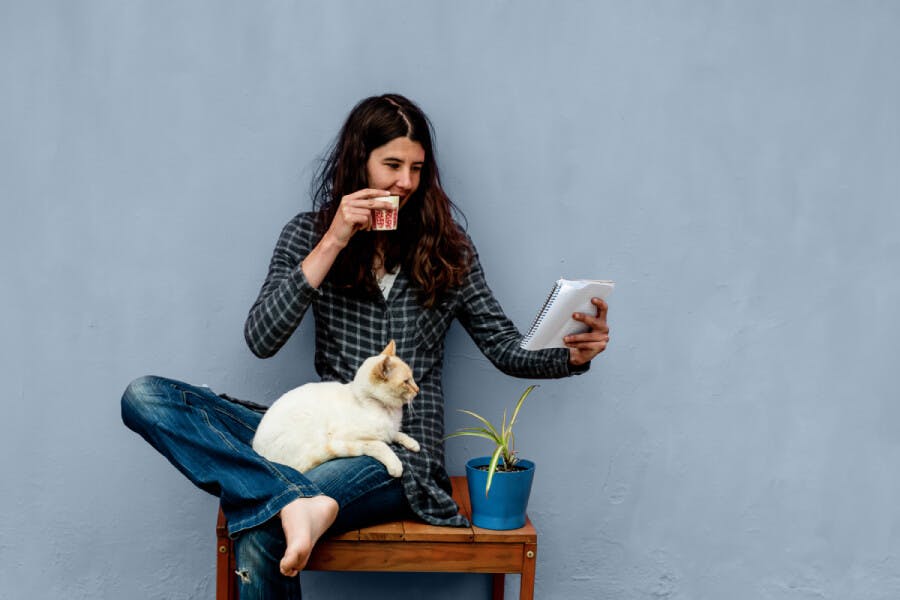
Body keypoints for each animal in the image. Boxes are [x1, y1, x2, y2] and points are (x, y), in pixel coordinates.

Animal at [253, 342, 422, 478]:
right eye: (406, 382)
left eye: (412, 378)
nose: (418, 390)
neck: (386, 410)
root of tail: (258, 451)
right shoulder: (350, 438)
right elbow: (380, 444)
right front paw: (395, 464)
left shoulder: (390, 430)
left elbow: (396, 433)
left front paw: (412, 442)